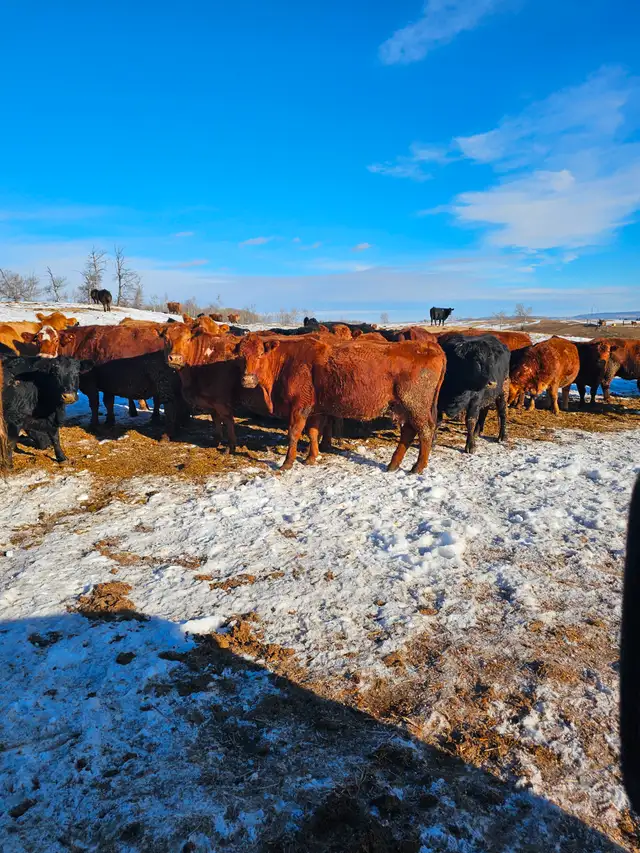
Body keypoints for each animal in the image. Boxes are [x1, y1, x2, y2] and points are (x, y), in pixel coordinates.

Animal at [237, 334, 446, 473]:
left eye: (260, 354)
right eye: (241, 356)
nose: (246, 379)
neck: (287, 361)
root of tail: (429, 346)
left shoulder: (299, 407)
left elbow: (294, 433)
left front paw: (287, 463)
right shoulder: (316, 409)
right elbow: (313, 432)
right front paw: (311, 457)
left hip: (415, 405)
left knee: (425, 431)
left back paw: (417, 467)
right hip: (404, 407)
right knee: (409, 432)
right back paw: (393, 464)